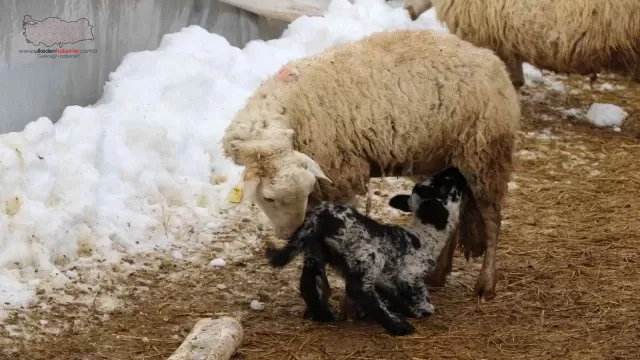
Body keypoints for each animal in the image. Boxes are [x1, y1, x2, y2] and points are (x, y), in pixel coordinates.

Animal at [220, 28, 520, 300]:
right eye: (269, 198)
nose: (289, 231)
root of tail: (491, 59)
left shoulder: (340, 177)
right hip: (440, 158)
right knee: (452, 211)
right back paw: (438, 275)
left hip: (484, 154)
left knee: (492, 219)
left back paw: (486, 284)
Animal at [262, 167, 468, 336]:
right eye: (445, 186)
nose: (455, 170)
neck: (424, 235)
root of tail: (320, 215)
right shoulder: (410, 275)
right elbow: (417, 295)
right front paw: (420, 309)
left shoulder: (388, 279)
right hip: (366, 255)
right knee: (359, 289)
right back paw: (398, 326)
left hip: (315, 251)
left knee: (309, 282)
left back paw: (323, 314)